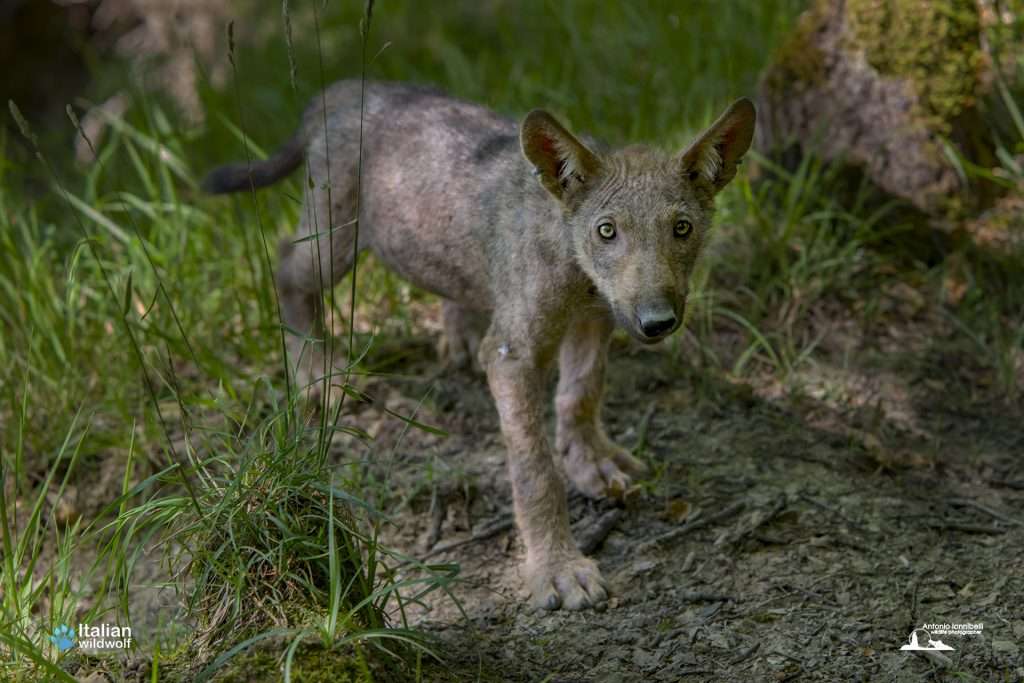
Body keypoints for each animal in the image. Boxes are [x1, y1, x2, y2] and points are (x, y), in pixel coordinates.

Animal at [203, 81, 755, 611]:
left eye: (682, 229)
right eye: (607, 231)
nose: (657, 322)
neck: (576, 270)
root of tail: (348, 86)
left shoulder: (597, 319)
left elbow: (580, 395)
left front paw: (592, 462)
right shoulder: (514, 354)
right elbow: (535, 471)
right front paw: (556, 567)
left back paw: (457, 338)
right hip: (332, 241)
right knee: (284, 267)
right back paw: (319, 374)